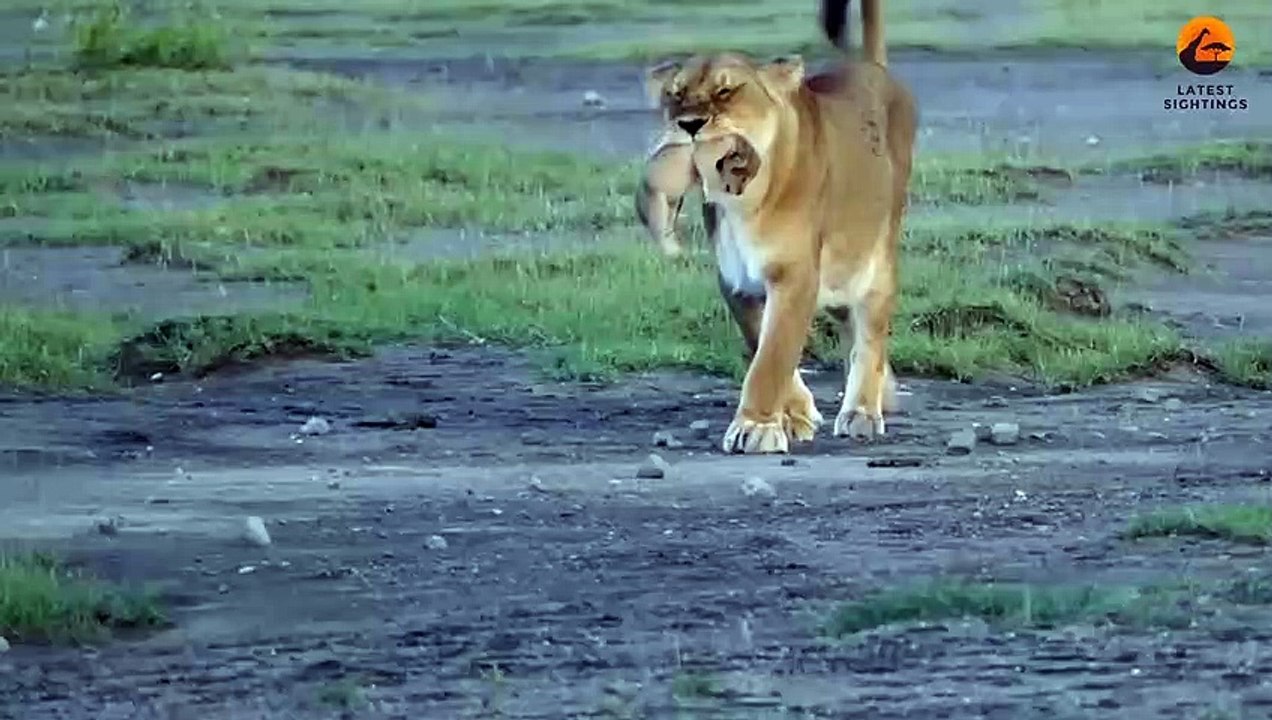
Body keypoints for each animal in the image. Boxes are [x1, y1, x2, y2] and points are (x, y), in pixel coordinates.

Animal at [635, 0, 918, 455]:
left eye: (726, 91)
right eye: (675, 94)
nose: (689, 124)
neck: (742, 203)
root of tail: (870, 67)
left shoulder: (794, 275)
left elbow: (772, 357)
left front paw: (755, 427)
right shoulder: (736, 282)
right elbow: (762, 346)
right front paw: (796, 415)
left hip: (872, 259)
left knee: (871, 330)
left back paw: (862, 410)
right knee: (850, 325)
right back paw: (884, 395)